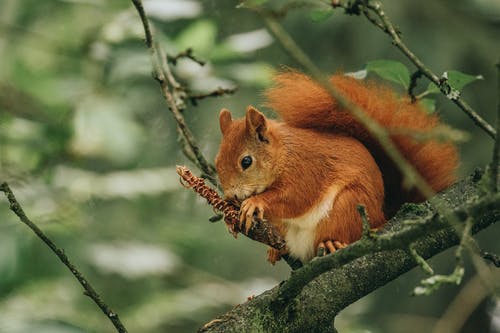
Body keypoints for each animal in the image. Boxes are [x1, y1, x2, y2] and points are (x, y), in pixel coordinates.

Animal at [214, 70, 458, 262]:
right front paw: (228, 211)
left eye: (246, 161)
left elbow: (295, 197)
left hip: (349, 206)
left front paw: (255, 202)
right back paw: (276, 250)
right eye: (216, 163)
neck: (283, 155)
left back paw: (333, 243)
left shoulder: (306, 170)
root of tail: (382, 216)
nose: (232, 195)